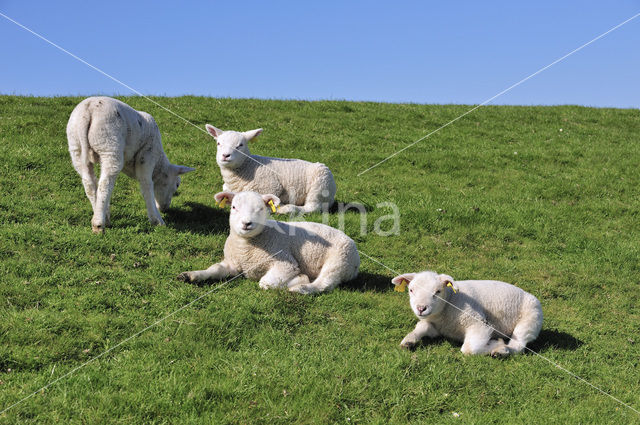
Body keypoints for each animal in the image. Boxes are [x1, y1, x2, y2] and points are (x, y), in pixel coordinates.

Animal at [67, 96, 195, 232]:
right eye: (177, 185)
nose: (165, 208)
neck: (159, 164)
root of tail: (88, 110)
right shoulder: (147, 155)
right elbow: (146, 186)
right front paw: (157, 220)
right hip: (109, 143)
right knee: (105, 183)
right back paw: (99, 224)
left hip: (76, 146)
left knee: (89, 183)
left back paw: (102, 215)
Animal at [178, 190, 360, 294]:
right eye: (234, 207)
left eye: (261, 208)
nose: (246, 223)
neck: (246, 248)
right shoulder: (233, 263)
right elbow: (214, 269)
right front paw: (191, 275)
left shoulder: (286, 263)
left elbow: (265, 283)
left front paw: (300, 278)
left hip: (339, 260)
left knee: (324, 284)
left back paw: (300, 288)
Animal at [206, 124, 338, 214]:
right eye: (218, 143)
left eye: (240, 145)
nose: (225, 155)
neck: (248, 167)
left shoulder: (272, 187)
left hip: (320, 186)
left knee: (312, 207)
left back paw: (287, 208)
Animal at [392, 270, 544, 356]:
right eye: (411, 290)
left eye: (438, 291)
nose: (421, 308)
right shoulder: (434, 325)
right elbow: (422, 327)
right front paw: (409, 340)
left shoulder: (478, 323)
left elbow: (469, 349)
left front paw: (496, 344)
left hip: (530, 320)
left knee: (518, 346)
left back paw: (501, 351)